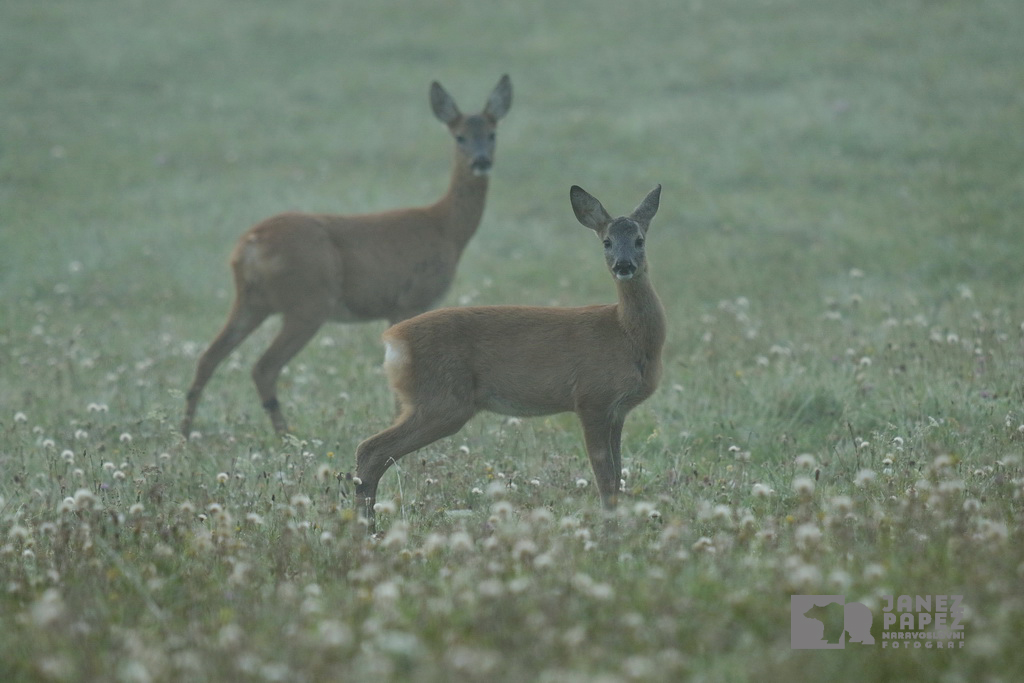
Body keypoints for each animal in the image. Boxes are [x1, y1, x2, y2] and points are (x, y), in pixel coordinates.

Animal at [180, 76, 512, 438]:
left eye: (492, 134)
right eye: (459, 136)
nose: (481, 161)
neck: (446, 228)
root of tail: (250, 244)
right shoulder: (409, 300)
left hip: (252, 301)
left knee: (209, 357)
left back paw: (185, 431)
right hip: (308, 302)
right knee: (263, 367)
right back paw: (284, 434)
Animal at [356, 184, 667, 532]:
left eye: (639, 239)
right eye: (607, 241)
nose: (624, 265)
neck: (626, 333)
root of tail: (394, 340)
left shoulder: (617, 412)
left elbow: (617, 478)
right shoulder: (592, 400)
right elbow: (606, 480)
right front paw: (609, 535)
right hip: (441, 401)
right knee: (370, 449)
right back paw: (367, 530)